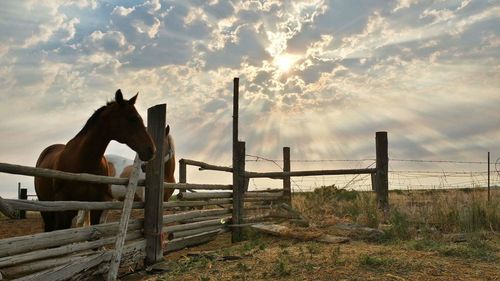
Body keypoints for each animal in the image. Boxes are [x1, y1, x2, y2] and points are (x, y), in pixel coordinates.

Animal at [34, 89, 155, 230]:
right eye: (132, 118)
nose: (151, 150)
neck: (83, 161)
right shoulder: (64, 209)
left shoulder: (96, 205)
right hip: (47, 209)